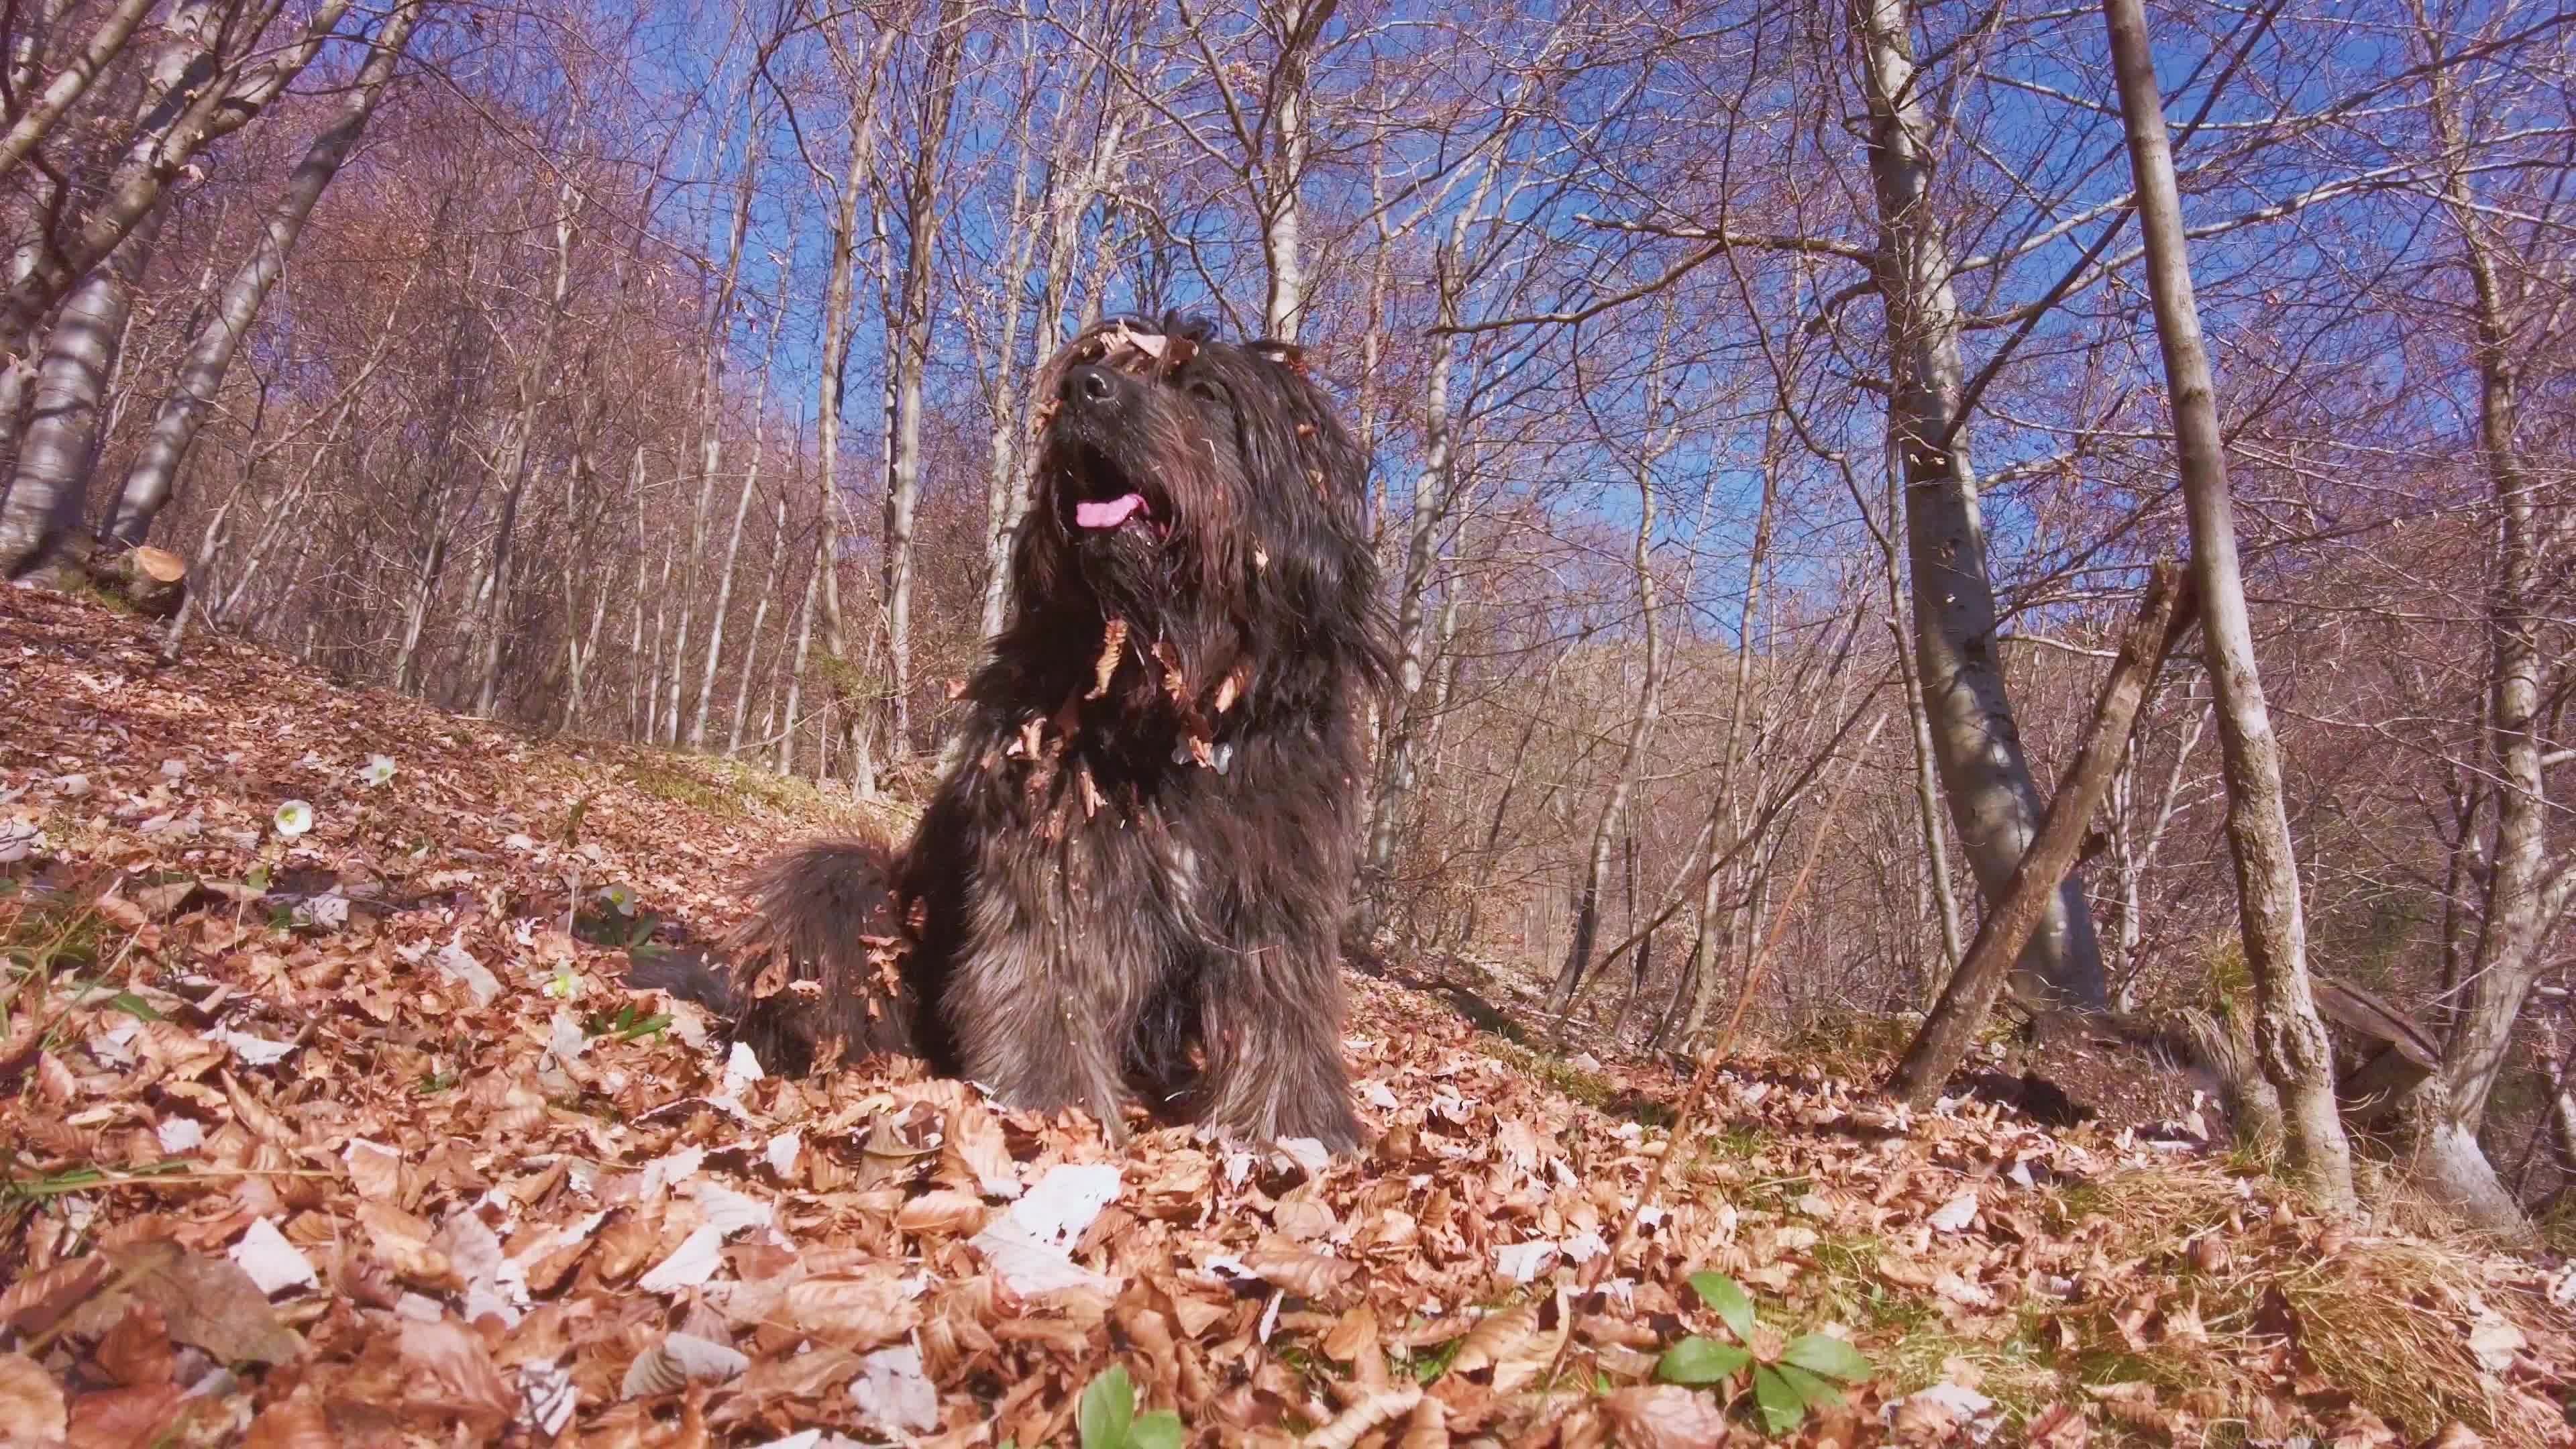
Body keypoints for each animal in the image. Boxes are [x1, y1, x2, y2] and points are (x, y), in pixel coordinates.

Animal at [716, 311, 1401, 1144]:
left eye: (1205, 392)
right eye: (1102, 364)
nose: (1084, 388)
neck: (1170, 712)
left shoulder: (1277, 884)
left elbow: (1281, 1014)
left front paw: (1296, 1133)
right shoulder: (1056, 857)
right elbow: (1046, 981)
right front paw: (1055, 1114)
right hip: (861, 897)